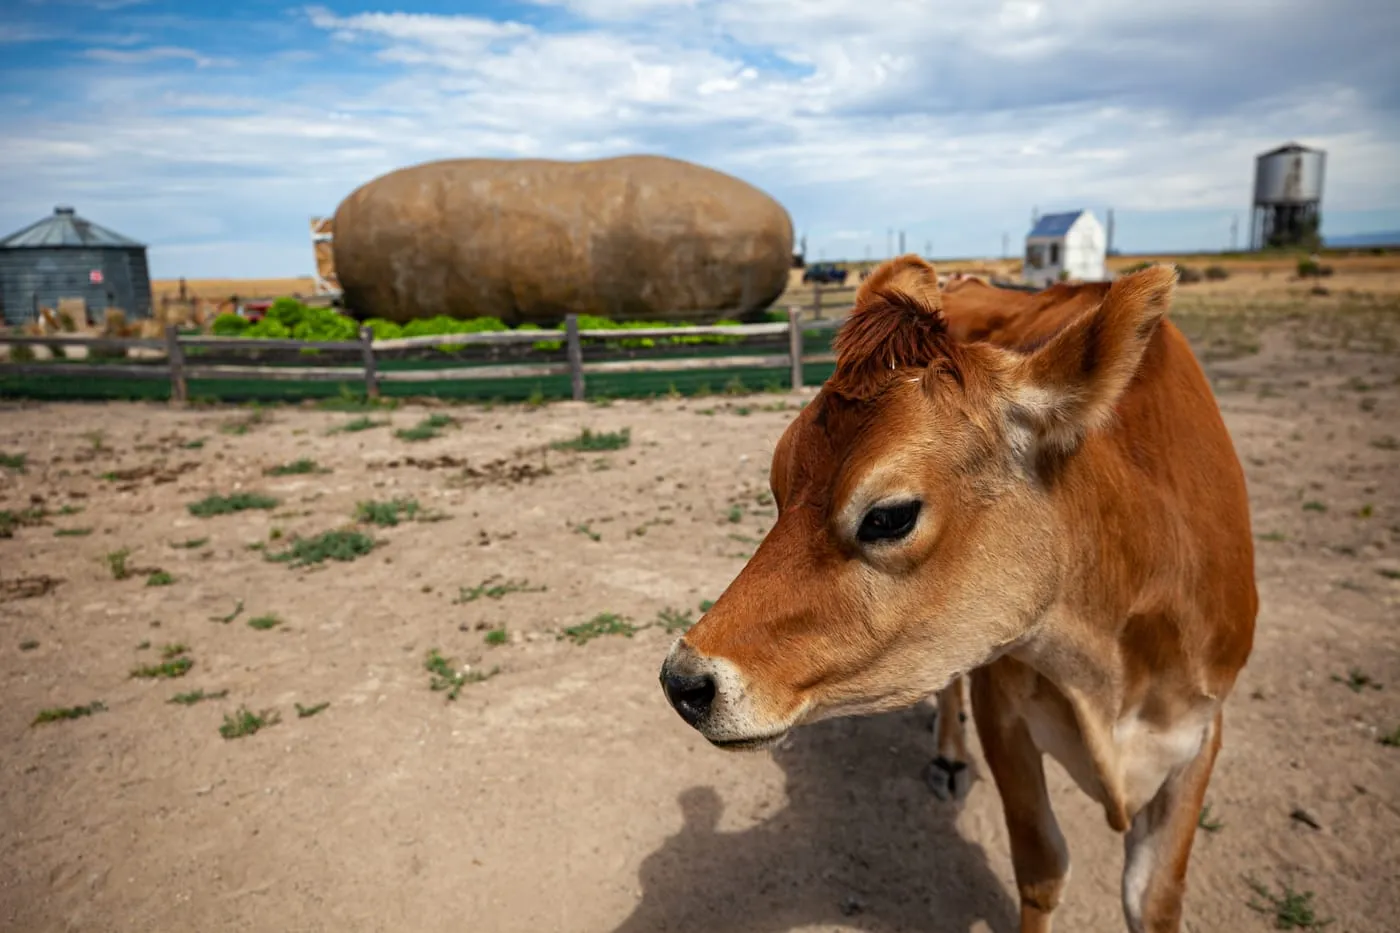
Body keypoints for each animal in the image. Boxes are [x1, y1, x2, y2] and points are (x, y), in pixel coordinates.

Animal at [658, 254, 1260, 930]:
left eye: (890, 516)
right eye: (778, 485)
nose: (682, 681)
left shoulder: (1201, 731)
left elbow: (1153, 898)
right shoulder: (1003, 704)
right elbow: (1042, 867)